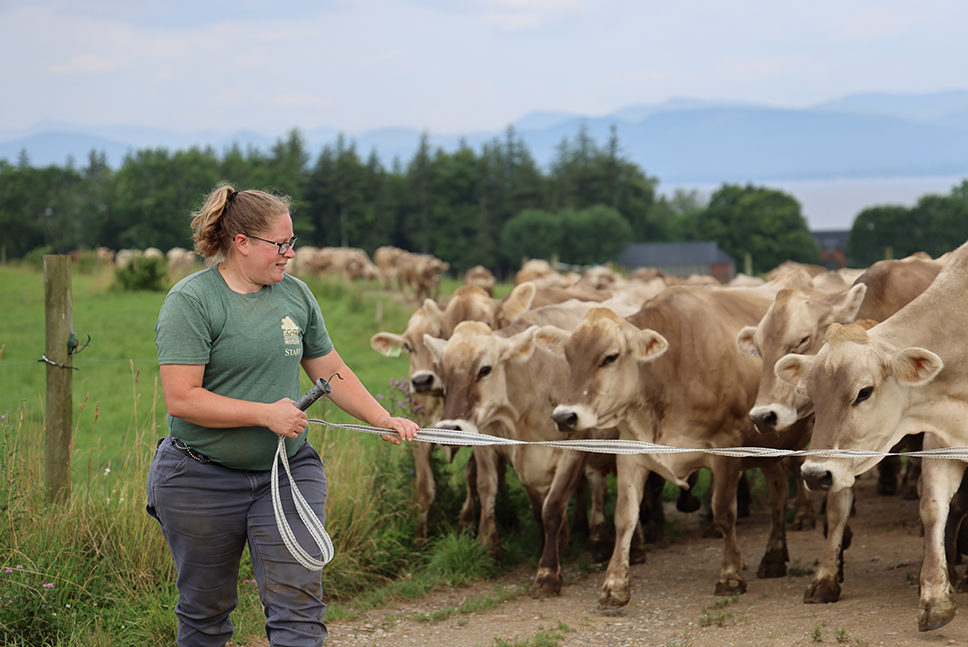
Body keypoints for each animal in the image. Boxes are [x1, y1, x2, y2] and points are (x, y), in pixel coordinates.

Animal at [528, 280, 816, 612]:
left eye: (610, 357)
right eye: (569, 357)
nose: (564, 416)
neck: (670, 372)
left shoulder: (727, 446)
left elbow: (724, 511)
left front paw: (730, 575)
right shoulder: (631, 454)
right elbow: (624, 517)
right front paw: (614, 584)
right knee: (779, 494)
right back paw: (774, 557)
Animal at [776, 243, 968, 632]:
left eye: (863, 392)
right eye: (811, 393)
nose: (815, 475)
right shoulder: (942, 439)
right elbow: (933, 507)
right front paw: (935, 597)